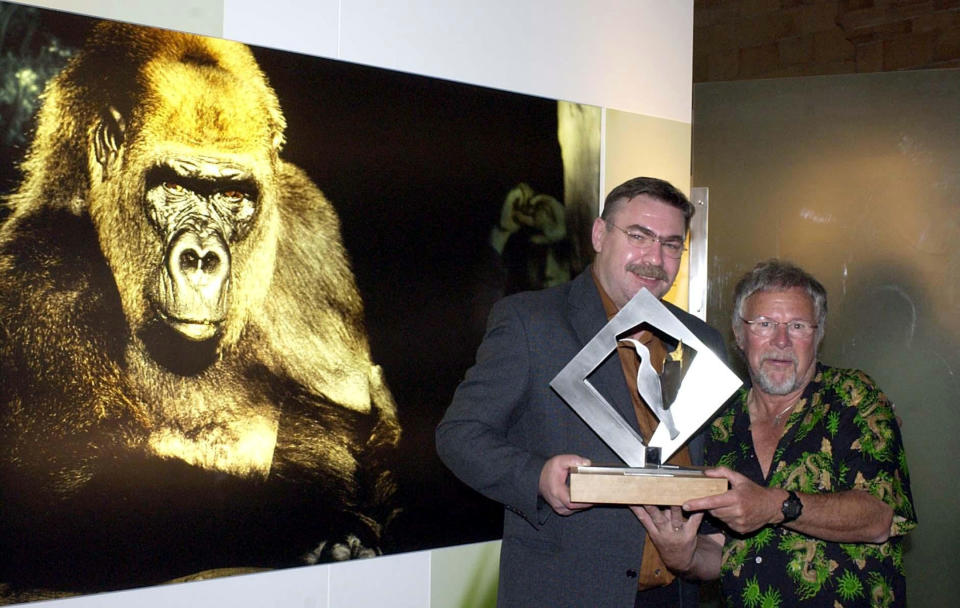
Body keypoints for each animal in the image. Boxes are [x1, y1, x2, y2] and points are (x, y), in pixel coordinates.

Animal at [0, 20, 402, 600]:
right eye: (175, 185)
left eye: (233, 195)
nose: (201, 260)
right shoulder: (37, 273)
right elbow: (72, 496)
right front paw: (308, 524)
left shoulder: (309, 221)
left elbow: (356, 415)